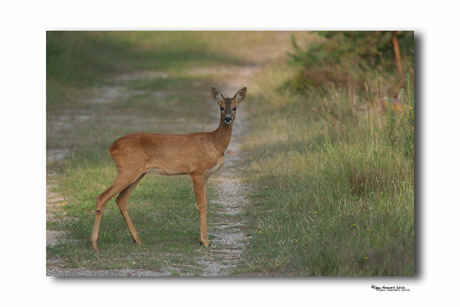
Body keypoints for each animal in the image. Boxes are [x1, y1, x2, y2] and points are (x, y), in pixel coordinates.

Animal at [90, 86, 248, 250]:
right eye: (221, 107)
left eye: (235, 107)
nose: (228, 118)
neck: (214, 143)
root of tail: (112, 147)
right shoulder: (197, 171)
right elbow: (201, 205)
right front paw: (205, 241)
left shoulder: (206, 175)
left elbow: (206, 202)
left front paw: (203, 240)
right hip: (128, 170)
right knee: (102, 197)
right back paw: (94, 243)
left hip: (137, 173)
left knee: (121, 200)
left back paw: (137, 239)